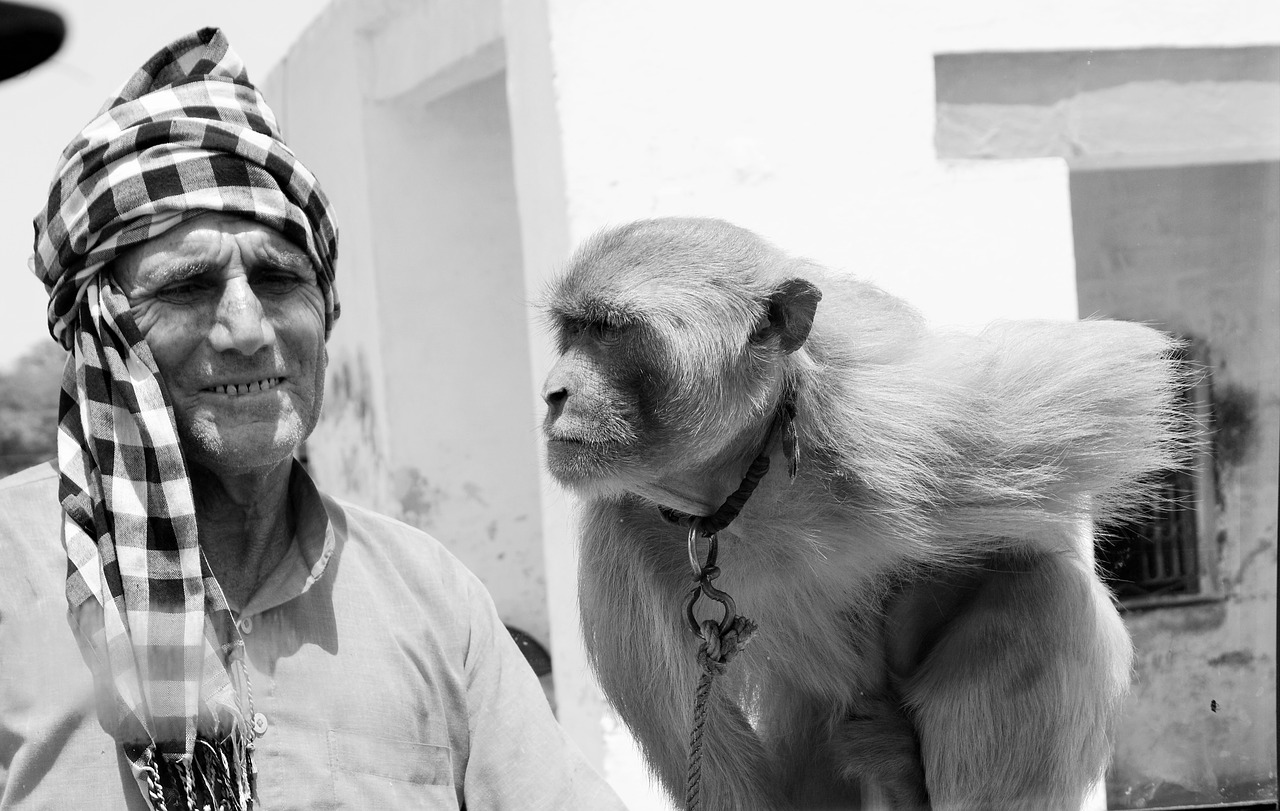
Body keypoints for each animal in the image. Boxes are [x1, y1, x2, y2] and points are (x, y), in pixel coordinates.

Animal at [535, 216, 1182, 808]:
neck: (742, 487)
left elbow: (1122, 378)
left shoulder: (897, 424)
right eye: (573, 330)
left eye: (609, 331)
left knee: (1043, 593)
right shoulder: (620, 539)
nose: (553, 392)